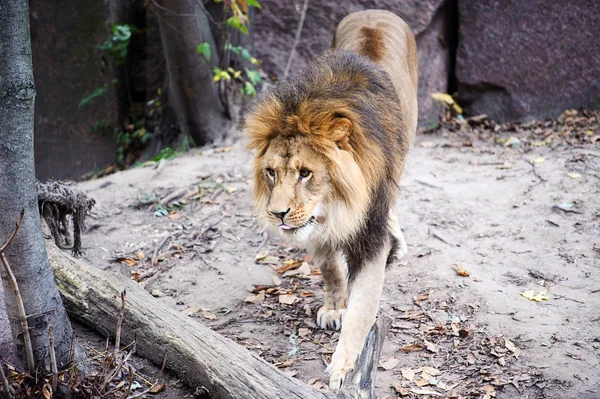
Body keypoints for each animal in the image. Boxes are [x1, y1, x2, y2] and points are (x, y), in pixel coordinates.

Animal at [244, 9, 418, 390]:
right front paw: (336, 306)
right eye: (271, 172)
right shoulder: (313, 226)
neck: (336, 207)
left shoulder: (371, 236)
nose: (277, 214)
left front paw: (342, 368)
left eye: (305, 173)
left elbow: (362, 310)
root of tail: (376, 10)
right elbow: (329, 268)